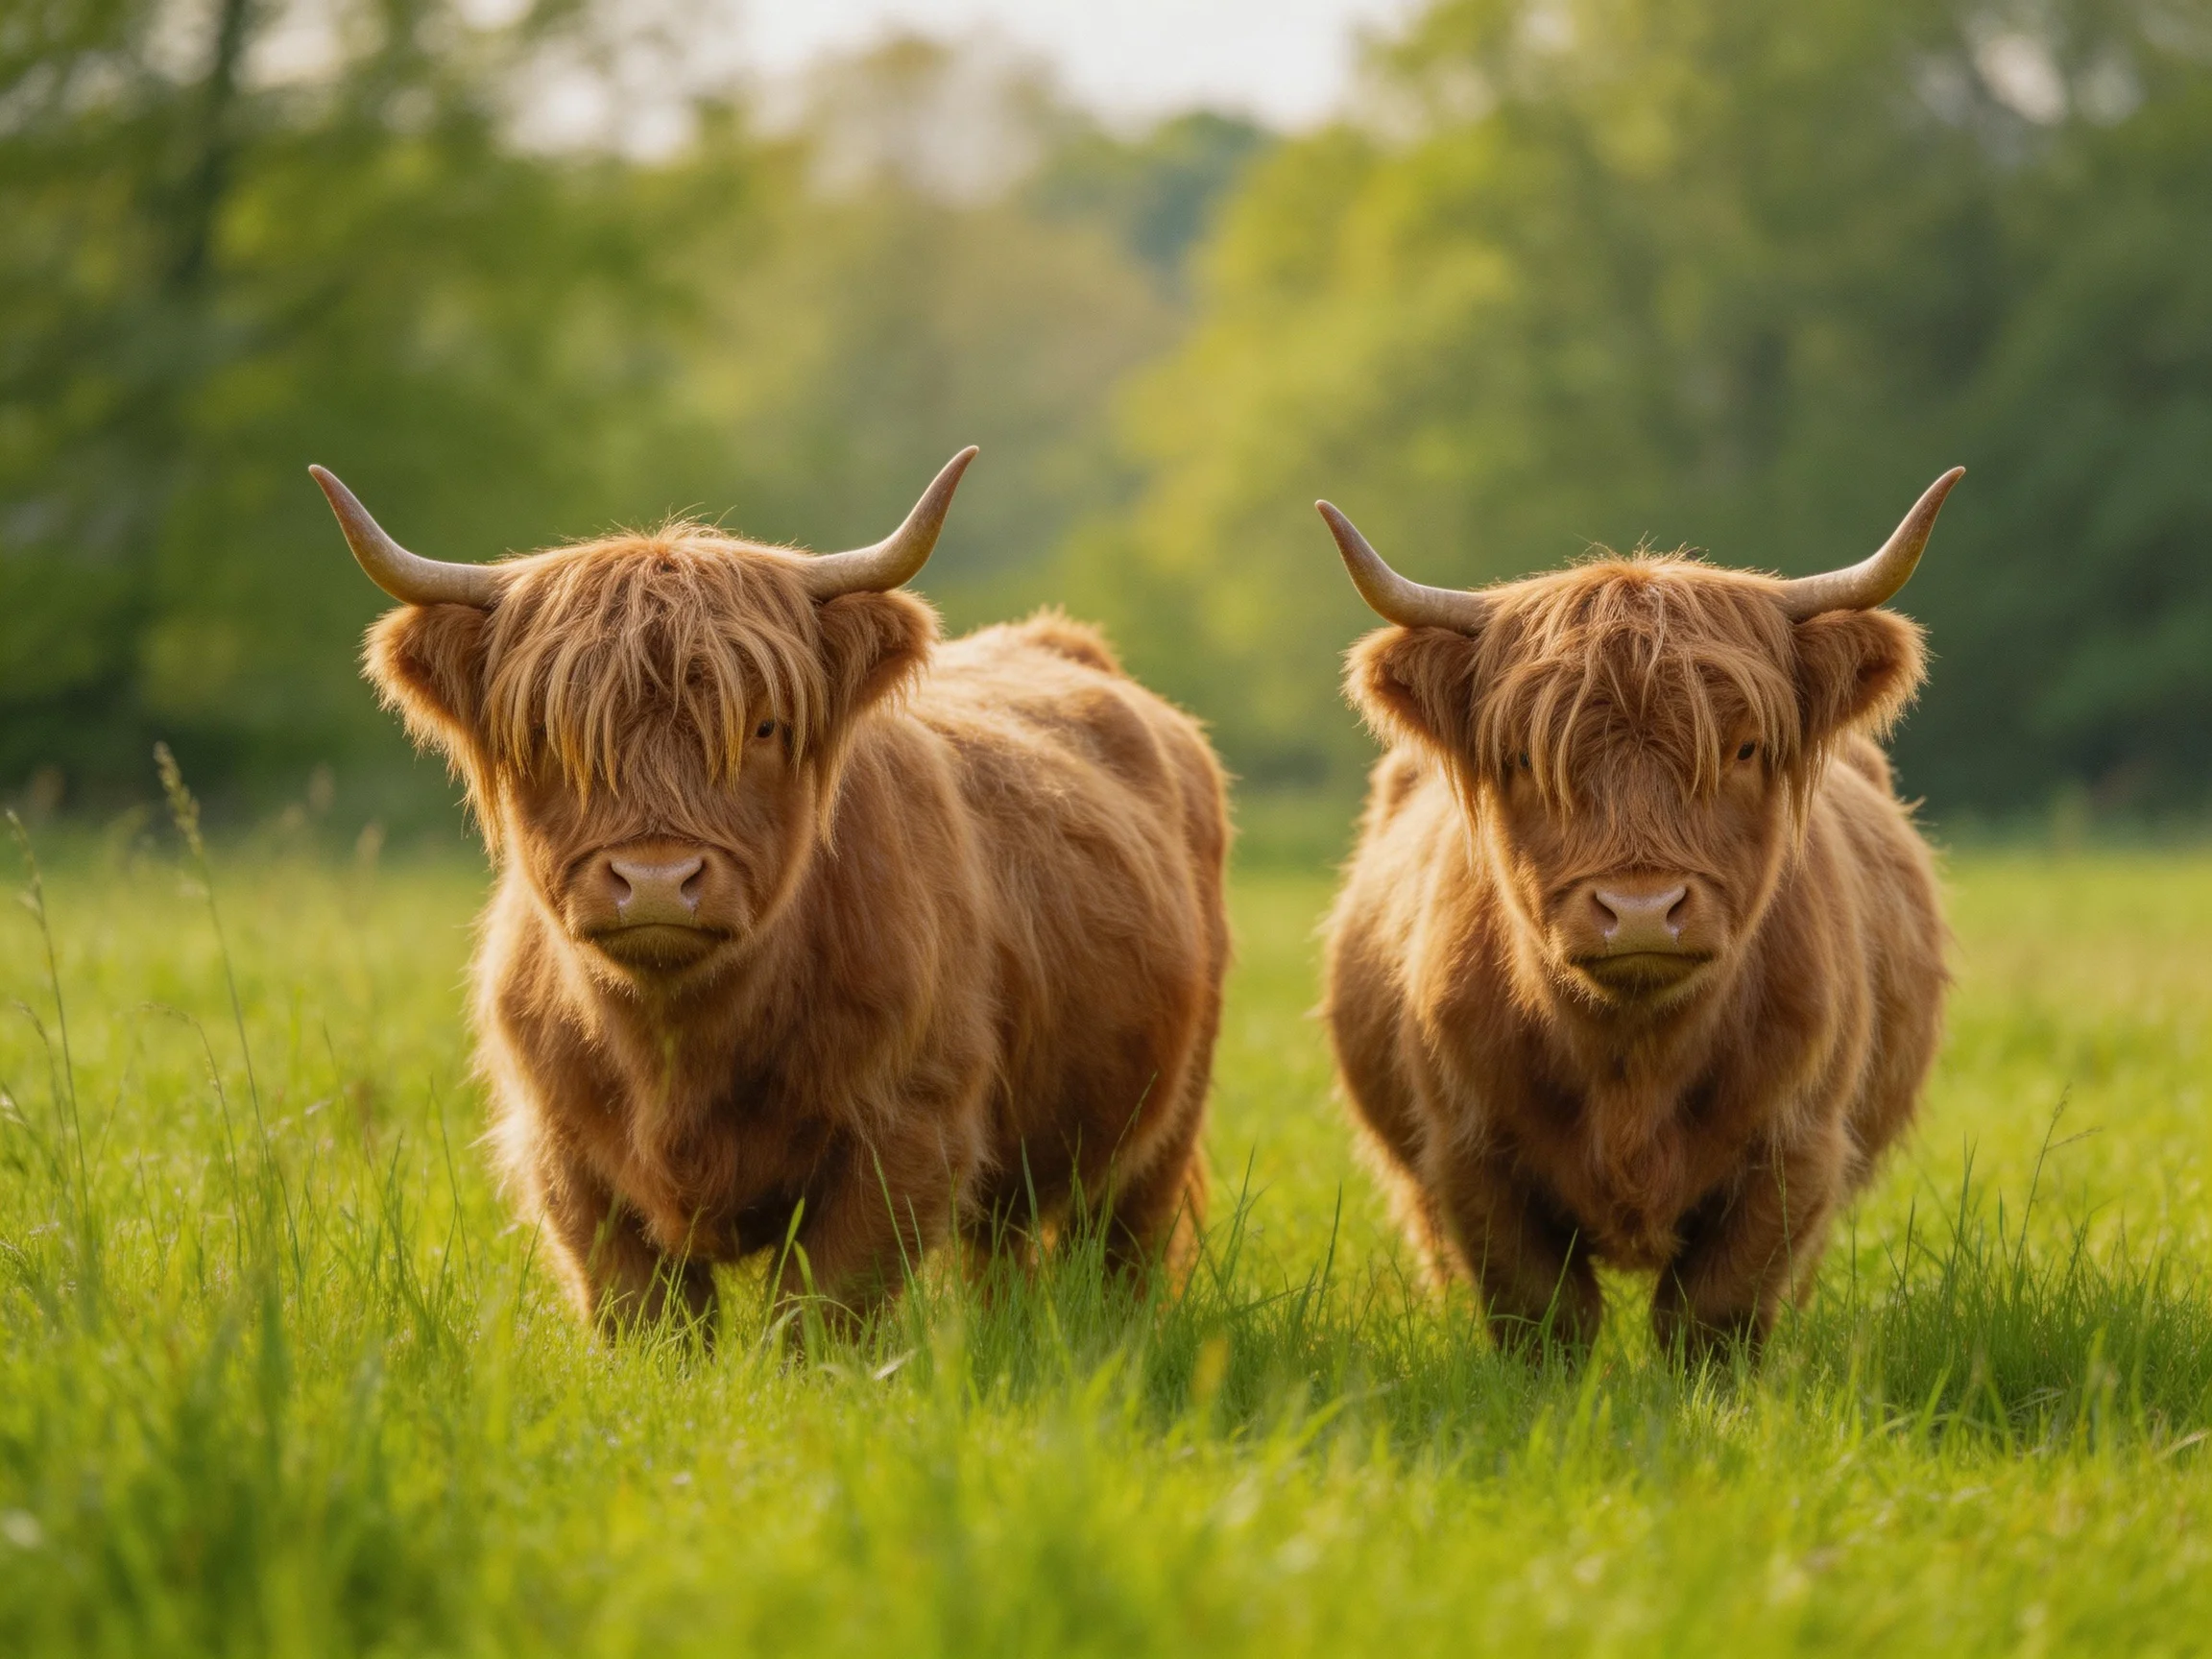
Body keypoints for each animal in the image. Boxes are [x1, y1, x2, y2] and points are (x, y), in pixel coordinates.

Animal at [311, 451, 1229, 1336]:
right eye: (546, 734)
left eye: (764, 726)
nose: (655, 881)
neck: (677, 1048)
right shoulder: (562, 1156)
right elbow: (651, 1325)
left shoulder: (908, 1131)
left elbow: (816, 1316)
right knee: (1000, 1256)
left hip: (1165, 1124)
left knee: (1117, 1254)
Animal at [1313, 471, 1961, 1363]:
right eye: (1524, 758)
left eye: (1745, 748)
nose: (1644, 911)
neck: (1633, 1065)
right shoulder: (1469, 1156)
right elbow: (1544, 1317)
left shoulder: (1796, 1151)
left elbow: (1713, 1315)